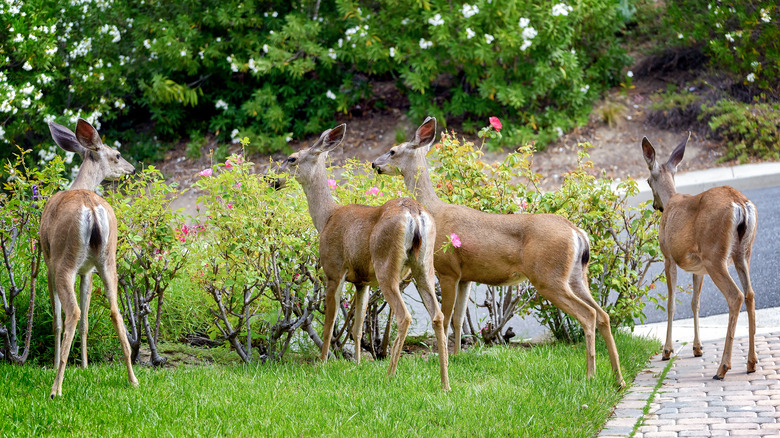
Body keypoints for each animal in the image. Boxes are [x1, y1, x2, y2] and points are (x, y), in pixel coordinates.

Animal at [40, 119, 138, 396]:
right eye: (118, 155)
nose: (132, 168)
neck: (80, 187)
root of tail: (92, 209)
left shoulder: (48, 262)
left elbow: (58, 319)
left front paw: (56, 365)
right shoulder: (87, 270)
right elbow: (85, 320)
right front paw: (84, 365)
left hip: (64, 261)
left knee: (72, 313)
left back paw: (56, 388)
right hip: (108, 260)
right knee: (114, 310)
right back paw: (133, 378)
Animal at [284, 122, 450, 390]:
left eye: (292, 159)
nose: (272, 179)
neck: (326, 218)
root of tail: (415, 213)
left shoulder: (334, 270)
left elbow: (330, 324)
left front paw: (322, 364)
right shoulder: (362, 282)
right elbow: (357, 327)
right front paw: (358, 364)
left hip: (386, 264)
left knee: (404, 316)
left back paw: (390, 376)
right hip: (423, 265)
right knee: (437, 315)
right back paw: (445, 384)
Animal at [374, 116, 628, 386]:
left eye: (392, 150)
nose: (374, 164)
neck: (434, 209)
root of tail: (577, 232)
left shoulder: (448, 270)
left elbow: (446, 317)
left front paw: (446, 359)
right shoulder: (466, 277)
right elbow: (458, 318)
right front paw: (456, 356)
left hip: (549, 276)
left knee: (588, 315)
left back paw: (591, 375)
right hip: (577, 275)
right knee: (603, 314)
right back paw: (618, 379)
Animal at [640, 134, 756, 380]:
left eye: (647, 180)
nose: (656, 206)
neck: (672, 199)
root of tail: (740, 204)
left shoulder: (668, 256)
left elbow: (672, 302)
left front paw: (667, 350)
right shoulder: (698, 268)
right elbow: (695, 303)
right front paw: (697, 347)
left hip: (715, 255)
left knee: (736, 296)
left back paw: (722, 368)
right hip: (743, 253)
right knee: (750, 294)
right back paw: (751, 363)